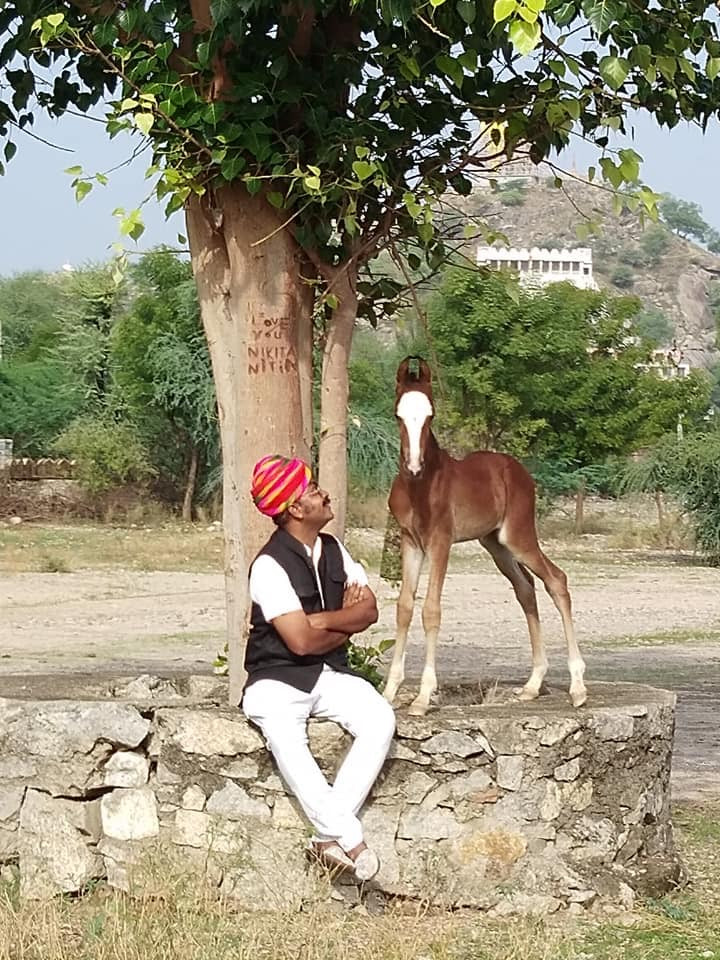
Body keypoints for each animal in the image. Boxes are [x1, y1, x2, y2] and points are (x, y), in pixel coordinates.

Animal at [383, 356, 587, 717]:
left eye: (430, 415)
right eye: (398, 415)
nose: (414, 465)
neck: (420, 486)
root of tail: (518, 471)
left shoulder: (440, 542)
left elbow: (431, 610)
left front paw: (423, 697)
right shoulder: (411, 542)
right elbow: (405, 607)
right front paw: (390, 691)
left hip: (519, 536)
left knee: (556, 579)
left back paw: (578, 688)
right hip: (495, 544)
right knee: (526, 588)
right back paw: (532, 684)